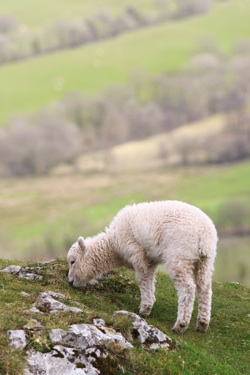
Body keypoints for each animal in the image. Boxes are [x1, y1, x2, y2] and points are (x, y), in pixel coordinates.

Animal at [67, 201, 218, 334]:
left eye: (72, 261)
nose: (69, 281)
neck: (114, 246)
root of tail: (204, 235)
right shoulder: (151, 259)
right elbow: (150, 280)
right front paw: (147, 304)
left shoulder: (137, 254)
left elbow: (143, 280)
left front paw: (144, 309)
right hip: (206, 260)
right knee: (204, 287)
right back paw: (202, 323)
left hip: (180, 255)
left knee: (188, 288)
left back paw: (180, 325)